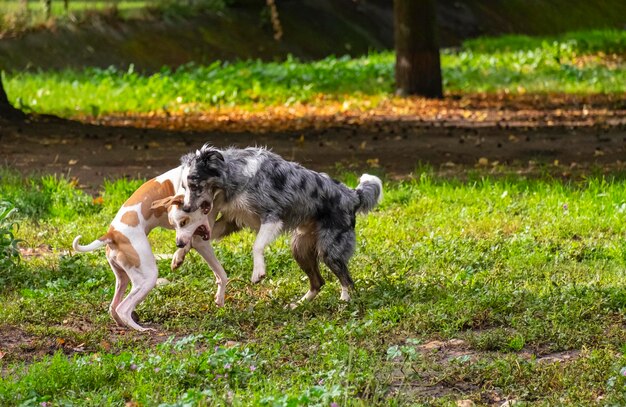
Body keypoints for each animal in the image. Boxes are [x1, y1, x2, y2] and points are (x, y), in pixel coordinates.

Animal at [72, 167, 227, 334]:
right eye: (181, 222)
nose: (179, 244)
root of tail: (112, 234)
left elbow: (220, 274)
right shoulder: (195, 237)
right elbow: (219, 270)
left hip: (123, 278)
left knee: (113, 306)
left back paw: (122, 324)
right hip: (148, 278)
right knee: (123, 308)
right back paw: (141, 329)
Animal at [179, 145, 380, 304]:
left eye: (194, 184)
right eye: (184, 187)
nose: (186, 208)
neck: (234, 176)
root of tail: (352, 195)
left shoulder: (272, 215)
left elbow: (257, 245)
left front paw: (258, 272)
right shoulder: (231, 221)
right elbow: (196, 236)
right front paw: (179, 254)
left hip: (329, 250)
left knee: (347, 280)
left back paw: (345, 300)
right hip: (300, 249)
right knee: (318, 282)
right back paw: (299, 304)